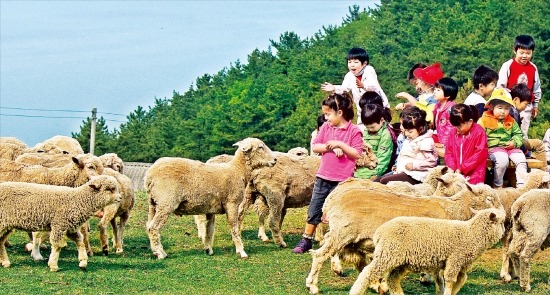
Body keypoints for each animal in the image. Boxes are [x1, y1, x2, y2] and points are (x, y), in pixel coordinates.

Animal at [146, 138, 278, 260]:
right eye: (260, 147)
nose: (275, 160)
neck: (237, 170)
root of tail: (149, 175)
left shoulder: (211, 209)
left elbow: (209, 230)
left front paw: (208, 249)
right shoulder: (232, 204)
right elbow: (234, 227)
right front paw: (241, 251)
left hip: (154, 203)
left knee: (148, 226)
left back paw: (155, 250)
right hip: (166, 202)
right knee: (153, 228)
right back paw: (160, 253)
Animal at [352, 208, 506, 295]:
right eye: (502, 222)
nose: (506, 231)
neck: (472, 234)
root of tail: (379, 231)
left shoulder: (462, 263)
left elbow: (462, 280)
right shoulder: (454, 259)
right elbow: (450, 280)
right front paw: (448, 292)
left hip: (400, 261)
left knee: (392, 279)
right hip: (387, 254)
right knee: (367, 273)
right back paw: (355, 291)